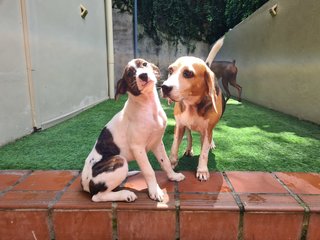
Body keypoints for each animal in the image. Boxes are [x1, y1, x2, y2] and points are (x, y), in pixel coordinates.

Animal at [81, 58, 184, 202]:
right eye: (130, 74)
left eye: (144, 64)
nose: (143, 75)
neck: (148, 106)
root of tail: (83, 184)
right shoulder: (138, 147)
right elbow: (149, 170)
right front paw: (155, 191)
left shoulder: (157, 142)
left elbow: (165, 162)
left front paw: (173, 176)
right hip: (120, 161)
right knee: (97, 196)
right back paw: (126, 194)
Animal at [160, 37, 225, 180]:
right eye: (170, 70)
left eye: (188, 73)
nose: (164, 87)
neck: (191, 105)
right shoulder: (179, 126)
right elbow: (174, 147)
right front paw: (172, 164)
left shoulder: (207, 130)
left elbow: (204, 153)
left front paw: (202, 170)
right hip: (186, 126)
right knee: (189, 136)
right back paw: (189, 149)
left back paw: (211, 144)